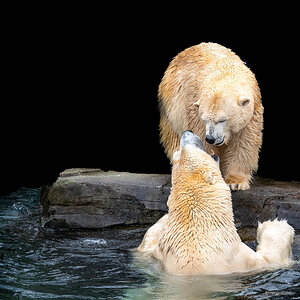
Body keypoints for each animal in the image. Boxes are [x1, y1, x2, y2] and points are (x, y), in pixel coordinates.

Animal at [137, 130, 296, 276]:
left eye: (178, 154)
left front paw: (165, 218)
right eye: (187, 147)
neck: (201, 225)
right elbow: (271, 259)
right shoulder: (239, 258)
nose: (186, 132)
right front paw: (276, 224)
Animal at [158, 42, 264, 190]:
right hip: (170, 105)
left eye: (223, 119)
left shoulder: (252, 111)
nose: (211, 138)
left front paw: (235, 182)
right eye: (205, 119)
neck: (223, 73)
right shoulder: (194, 108)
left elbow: (244, 142)